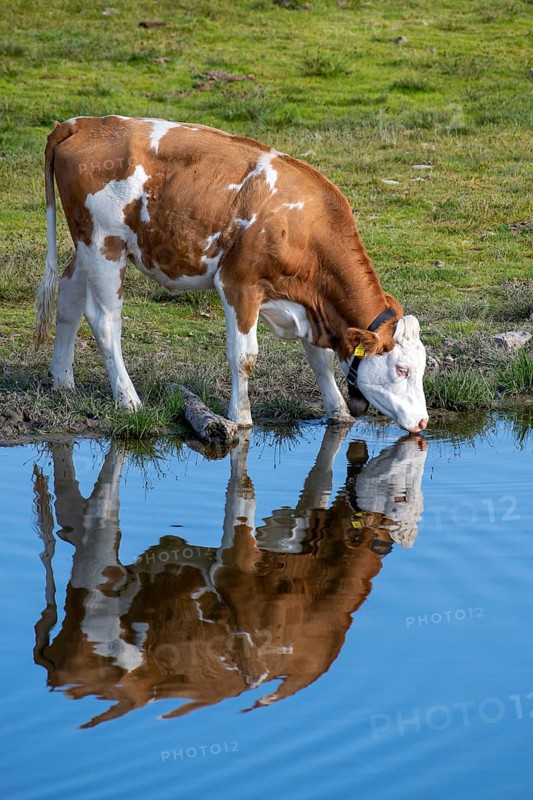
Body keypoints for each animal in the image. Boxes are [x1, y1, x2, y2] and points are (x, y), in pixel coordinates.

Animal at [35, 115, 428, 433]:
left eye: (423, 368)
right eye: (402, 369)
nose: (423, 421)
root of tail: (85, 122)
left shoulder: (309, 304)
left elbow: (321, 361)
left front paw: (339, 411)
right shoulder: (239, 285)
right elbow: (244, 357)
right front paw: (241, 417)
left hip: (86, 245)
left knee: (68, 297)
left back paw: (62, 379)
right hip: (104, 244)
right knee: (104, 321)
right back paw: (128, 399)